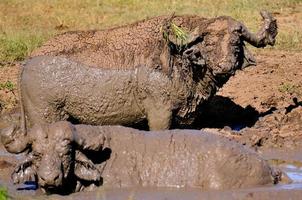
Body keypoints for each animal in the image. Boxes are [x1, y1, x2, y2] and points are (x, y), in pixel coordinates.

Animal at [18, 11, 278, 131]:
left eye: (235, 43)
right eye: (210, 43)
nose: (224, 66)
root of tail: (27, 63)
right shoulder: (159, 113)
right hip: (45, 117)